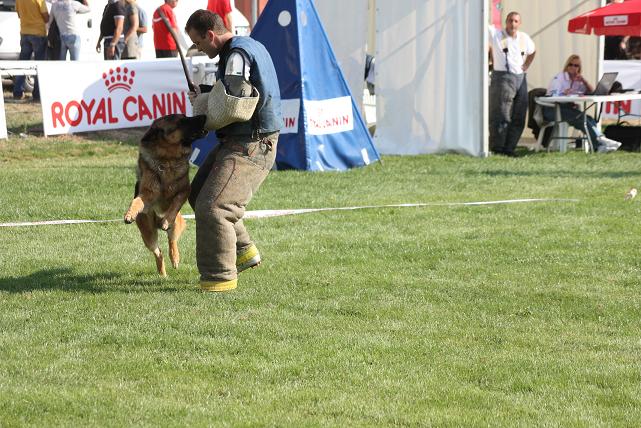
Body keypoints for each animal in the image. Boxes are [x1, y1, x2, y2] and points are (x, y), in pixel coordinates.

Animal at [124, 113, 206, 276]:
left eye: (185, 117)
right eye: (181, 121)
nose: (204, 116)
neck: (168, 160)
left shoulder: (184, 191)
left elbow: (175, 204)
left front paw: (167, 219)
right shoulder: (147, 194)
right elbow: (136, 201)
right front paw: (130, 214)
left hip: (177, 225)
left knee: (171, 240)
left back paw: (174, 256)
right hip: (148, 235)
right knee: (158, 252)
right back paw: (162, 273)